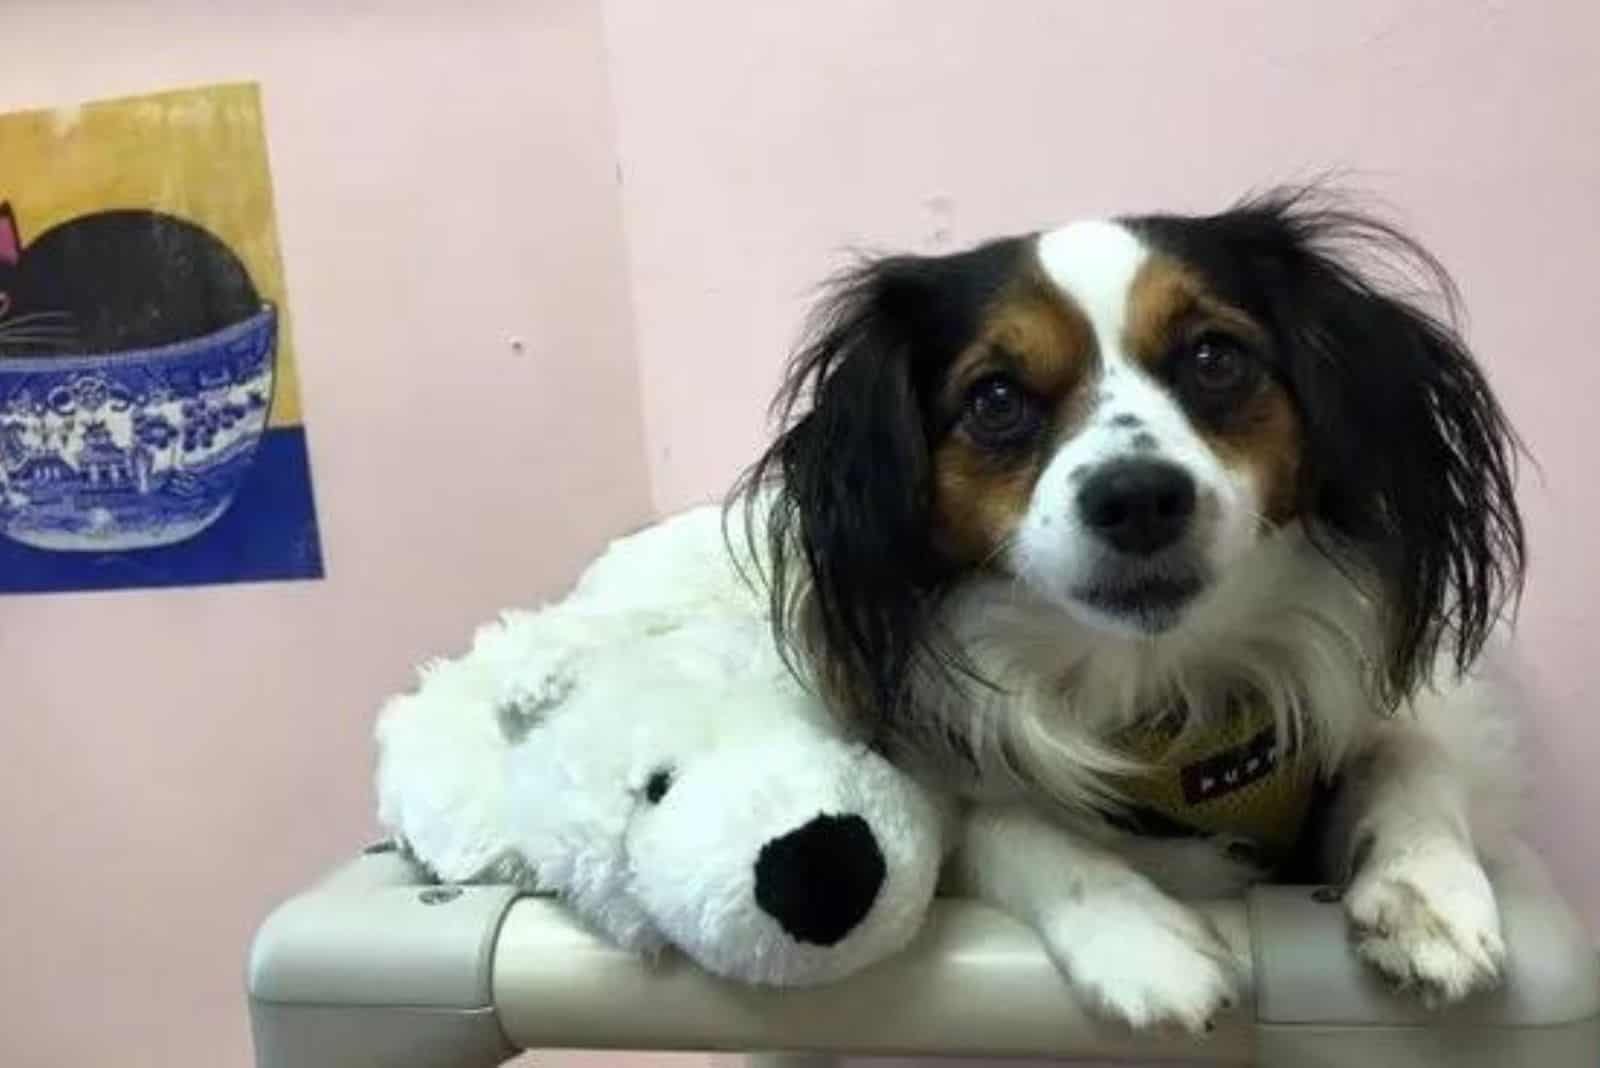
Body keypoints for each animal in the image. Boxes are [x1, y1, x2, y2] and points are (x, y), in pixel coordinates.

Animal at [732, 189, 1523, 1036]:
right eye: (995, 398)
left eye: (1214, 358)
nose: (1138, 496)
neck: (1158, 688)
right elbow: (1002, 825)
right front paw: (1144, 941)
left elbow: (1410, 753)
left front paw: (1427, 893)